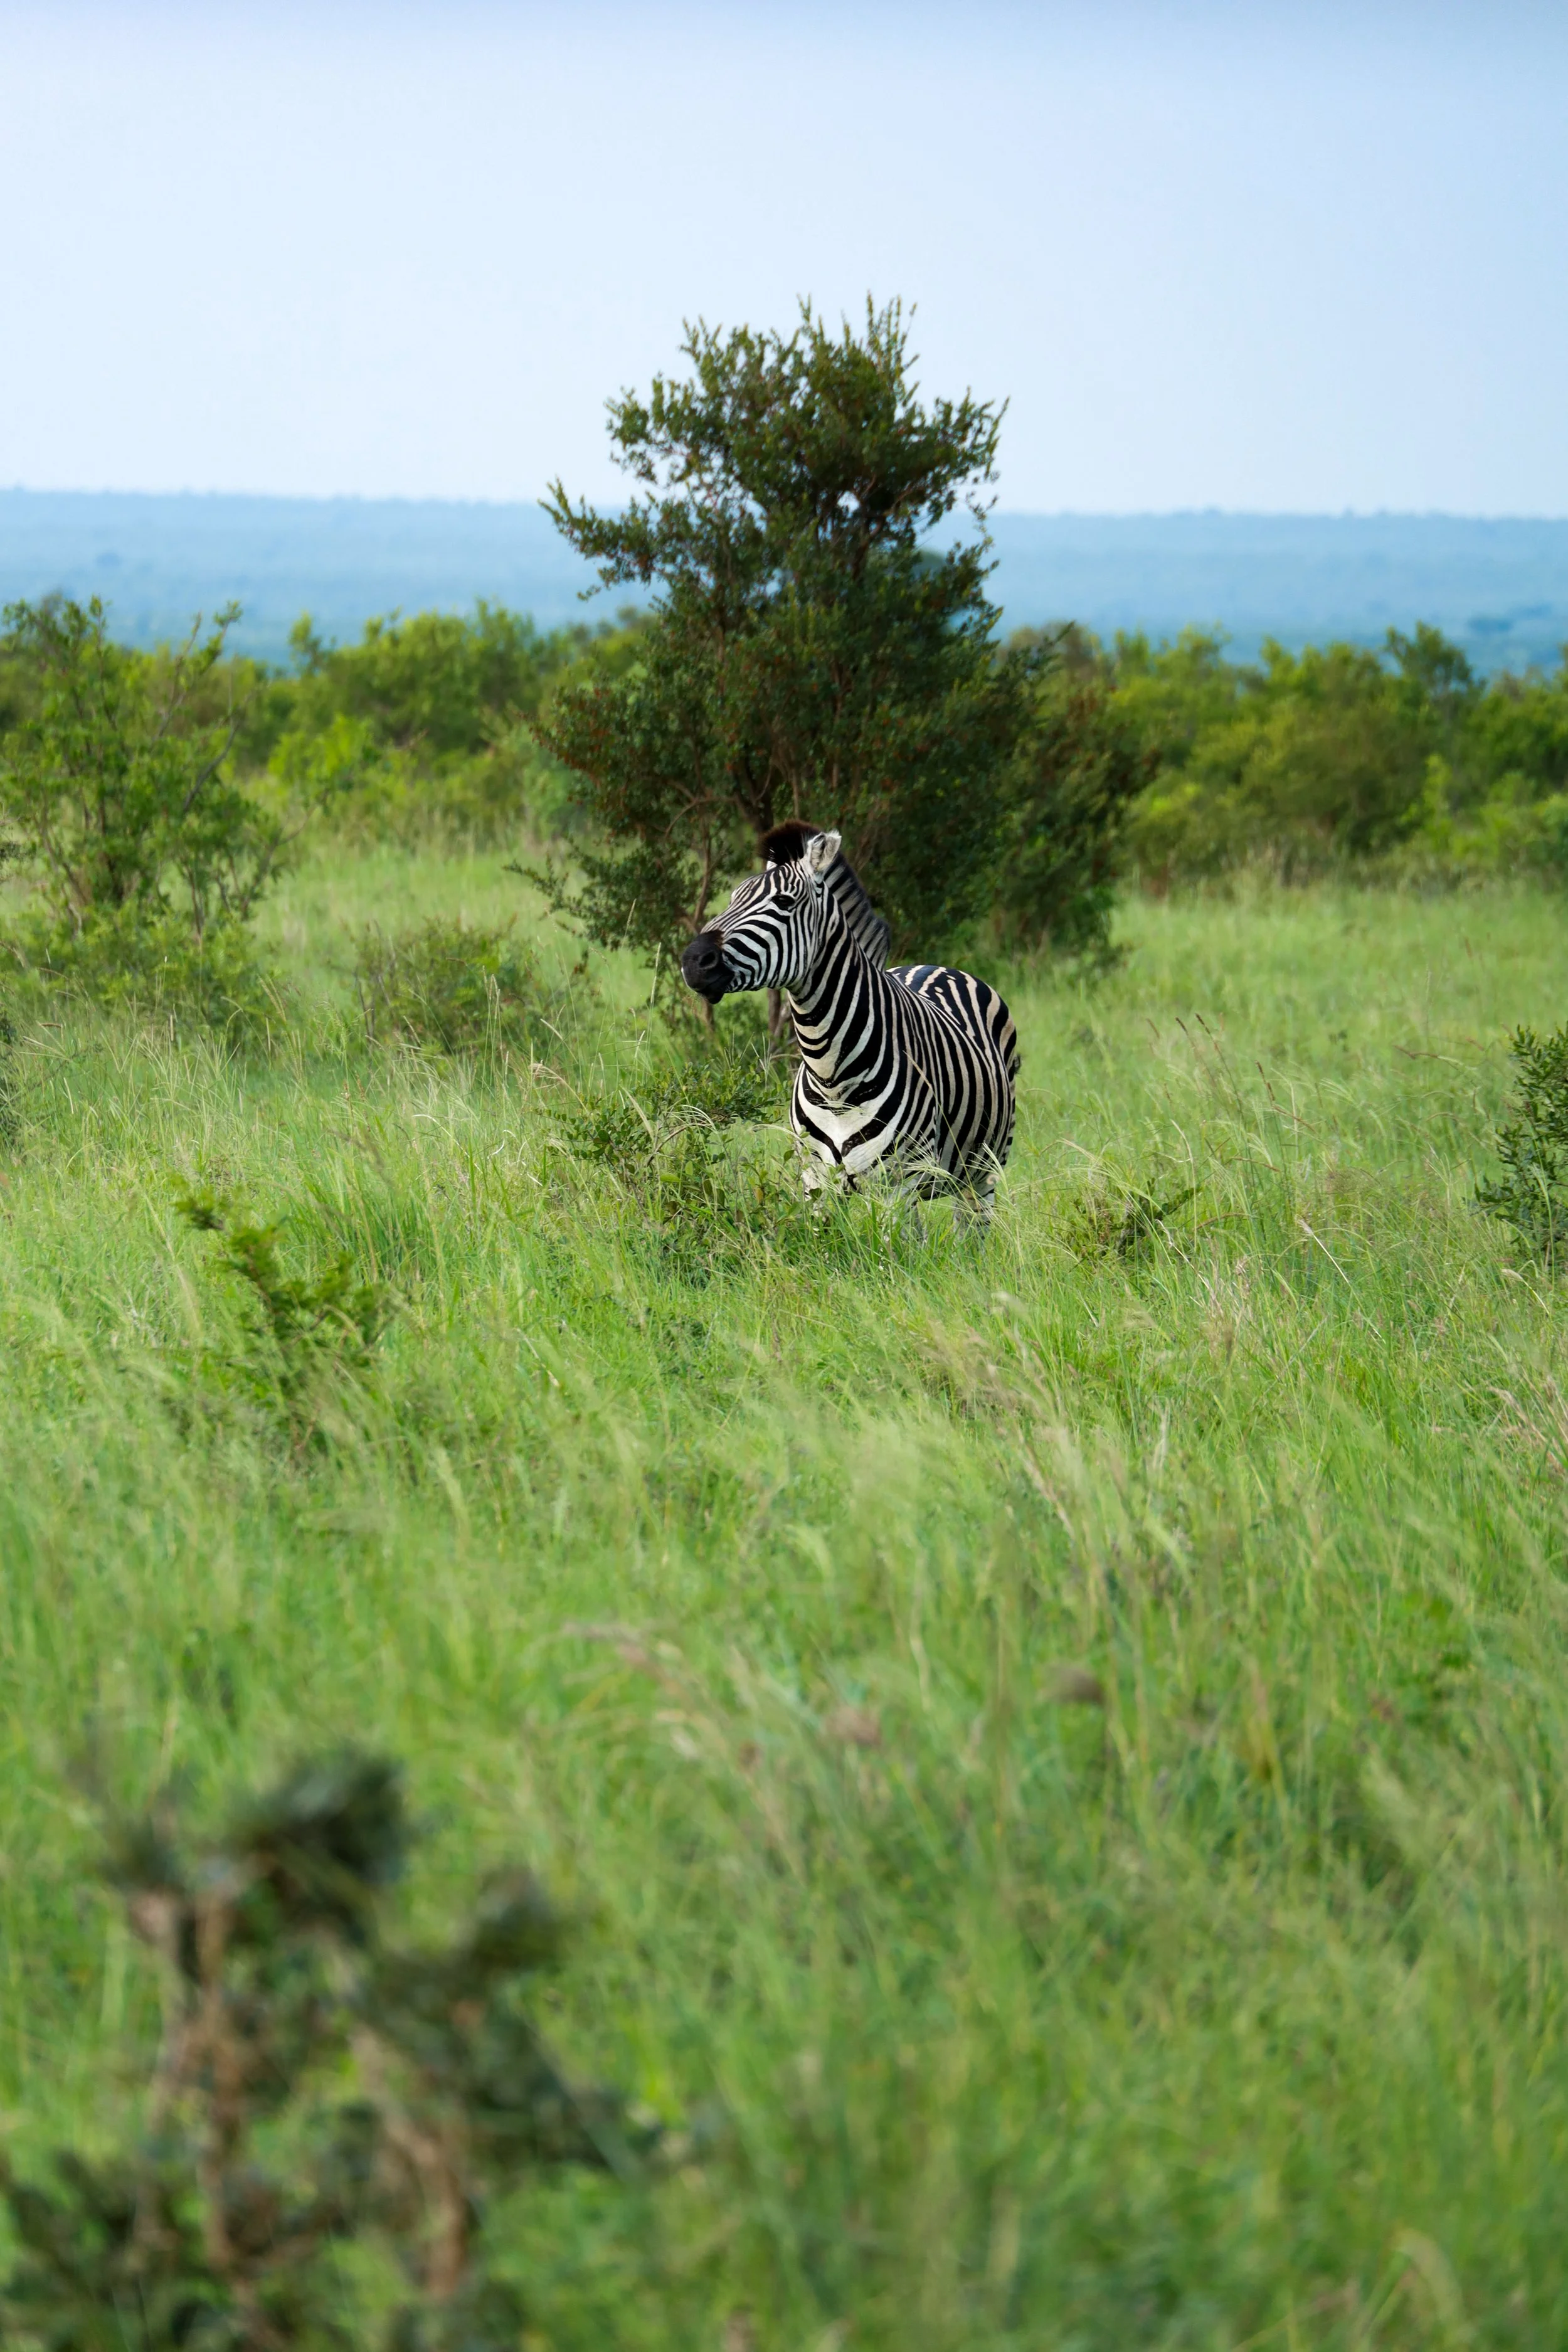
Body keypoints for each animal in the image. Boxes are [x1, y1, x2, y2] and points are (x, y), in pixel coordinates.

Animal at [680, 821, 1020, 1226]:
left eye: (785, 903)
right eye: (732, 899)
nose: (692, 961)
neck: (831, 1077)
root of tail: (934, 967)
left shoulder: (898, 1185)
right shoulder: (815, 1181)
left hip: (982, 1172)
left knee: (971, 1230)